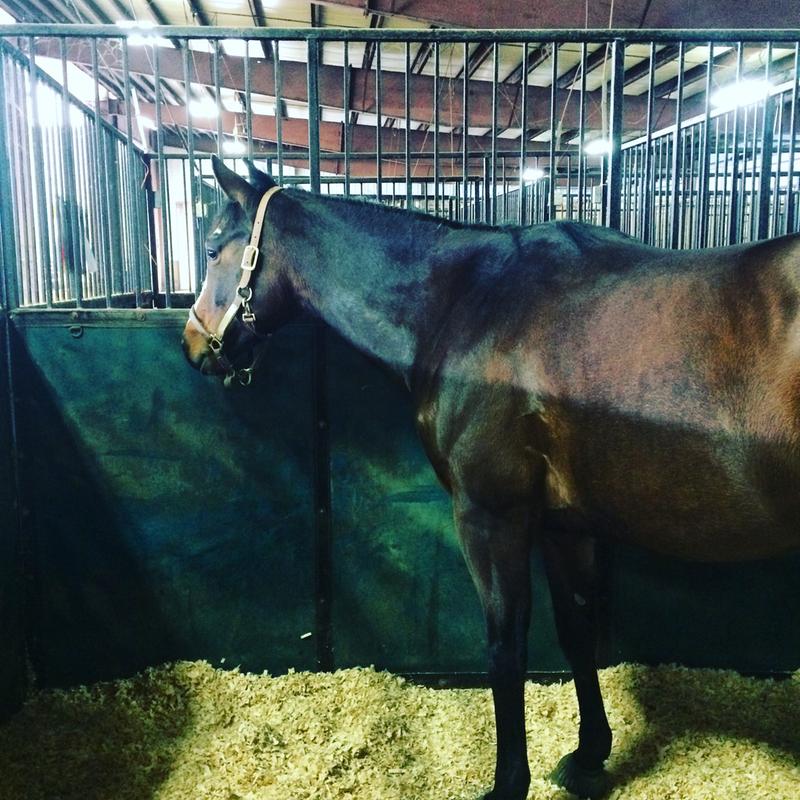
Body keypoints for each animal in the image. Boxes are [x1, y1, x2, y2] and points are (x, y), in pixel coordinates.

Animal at [182, 155, 800, 800]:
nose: (193, 343)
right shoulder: (562, 524)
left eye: (211, 248)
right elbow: (575, 631)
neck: (466, 302)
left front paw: (508, 783)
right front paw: (588, 756)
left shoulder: (489, 516)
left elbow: (505, 648)